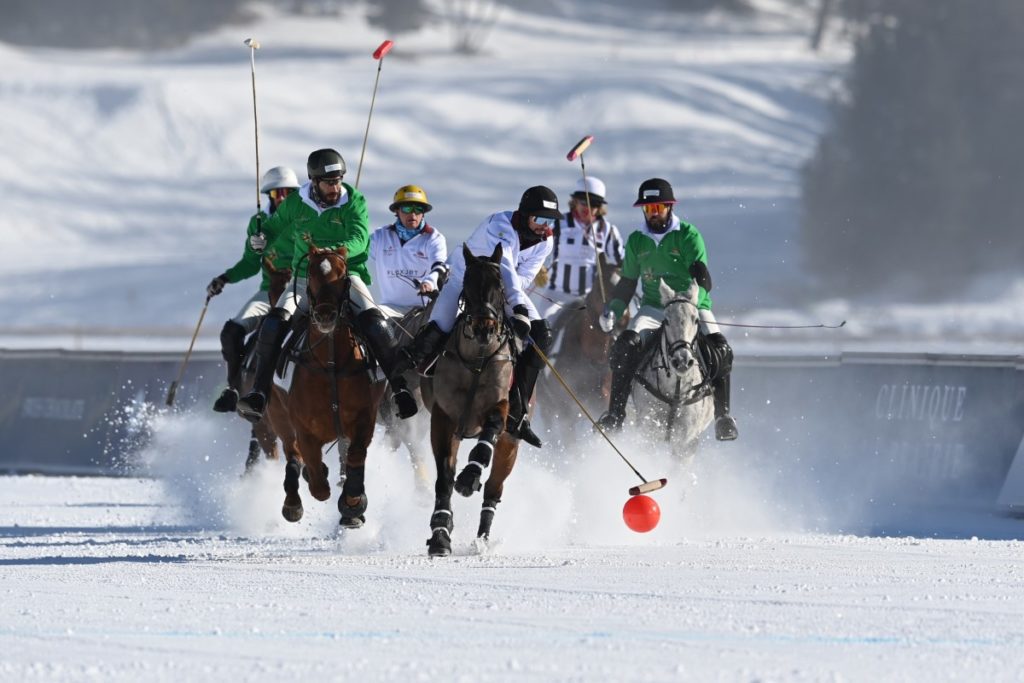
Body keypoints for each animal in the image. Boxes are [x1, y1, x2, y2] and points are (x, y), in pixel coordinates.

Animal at [266, 244, 385, 524]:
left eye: (343, 276)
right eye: (310, 274)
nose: (325, 315)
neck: (330, 364)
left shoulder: (365, 418)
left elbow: (355, 455)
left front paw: (354, 502)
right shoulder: (304, 428)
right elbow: (318, 484)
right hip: (277, 415)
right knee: (292, 455)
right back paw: (292, 503)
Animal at [421, 242, 520, 557]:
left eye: (500, 284)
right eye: (466, 284)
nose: (483, 328)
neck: (477, 360)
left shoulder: (501, 404)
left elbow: (491, 427)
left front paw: (470, 475)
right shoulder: (443, 417)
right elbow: (444, 477)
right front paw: (440, 534)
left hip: (511, 445)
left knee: (494, 490)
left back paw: (483, 539)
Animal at [622, 278, 712, 458]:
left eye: (696, 320)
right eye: (667, 320)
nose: (682, 360)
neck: (675, 391)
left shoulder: (687, 442)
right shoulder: (646, 430)